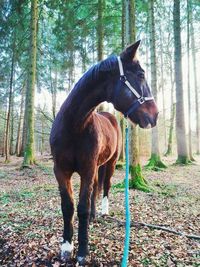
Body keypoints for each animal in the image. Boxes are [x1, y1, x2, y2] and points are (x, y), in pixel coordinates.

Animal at [49, 40, 158, 266]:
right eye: (141, 75)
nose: (155, 115)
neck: (73, 126)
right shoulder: (61, 171)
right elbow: (68, 206)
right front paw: (66, 247)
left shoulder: (87, 168)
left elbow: (81, 207)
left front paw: (82, 251)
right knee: (96, 188)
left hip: (109, 163)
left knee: (105, 185)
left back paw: (103, 211)